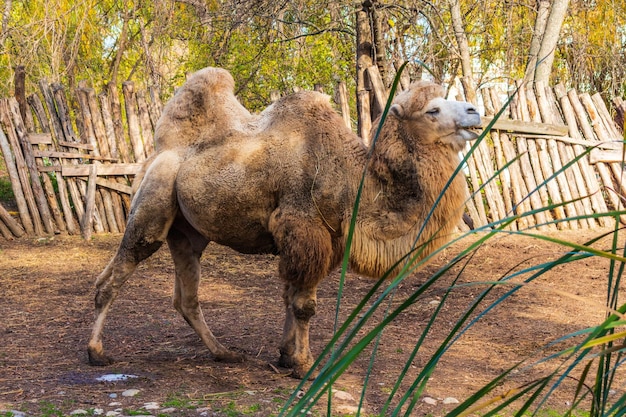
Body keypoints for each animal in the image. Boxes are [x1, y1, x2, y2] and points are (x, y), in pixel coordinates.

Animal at [86, 65, 478, 376]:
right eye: (432, 109)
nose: (474, 111)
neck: (354, 179)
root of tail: (156, 154)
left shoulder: (319, 240)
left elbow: (290, 295)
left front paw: (287, 356)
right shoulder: (303, 228)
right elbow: (304, 305)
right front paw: (304, 366)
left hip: (187, 233)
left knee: (187, 297)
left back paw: (224, 353)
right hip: (152, 204)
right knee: (115, 275)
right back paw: (96, 353)